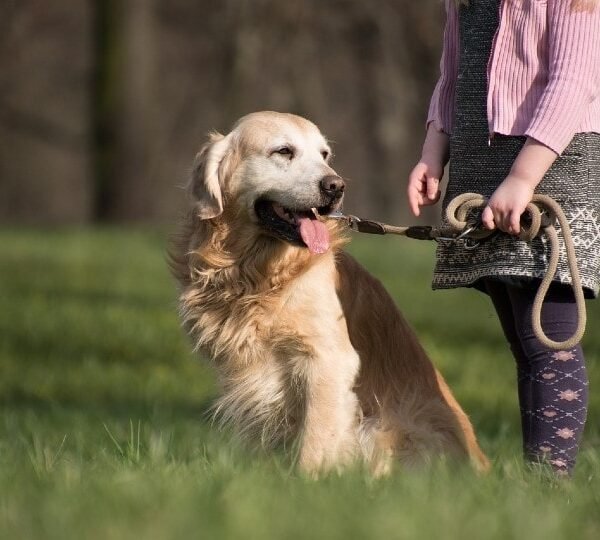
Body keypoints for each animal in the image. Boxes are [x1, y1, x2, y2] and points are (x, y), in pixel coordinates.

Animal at [171, 112, 490, 474]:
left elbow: (317, 440)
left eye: (324, 155)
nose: (336, 186)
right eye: (284, 151)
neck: (257, 273)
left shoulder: (328, 360)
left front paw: (308, 481)